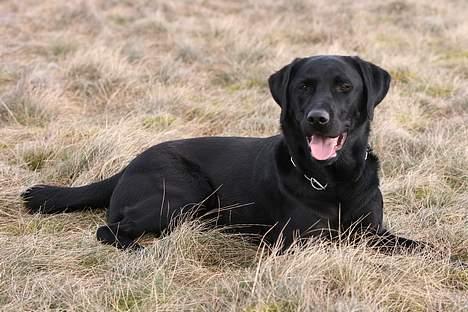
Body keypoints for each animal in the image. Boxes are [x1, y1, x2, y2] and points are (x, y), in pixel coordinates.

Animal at [22, 55, 426, 251]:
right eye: (304, 86)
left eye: (344, 87)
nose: (317, 119)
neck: (332, 180)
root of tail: (127, 166)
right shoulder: (299, 240)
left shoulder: (373, 230)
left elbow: (419, 246)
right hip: (184, 194)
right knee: (108, 229)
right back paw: (141, 250)